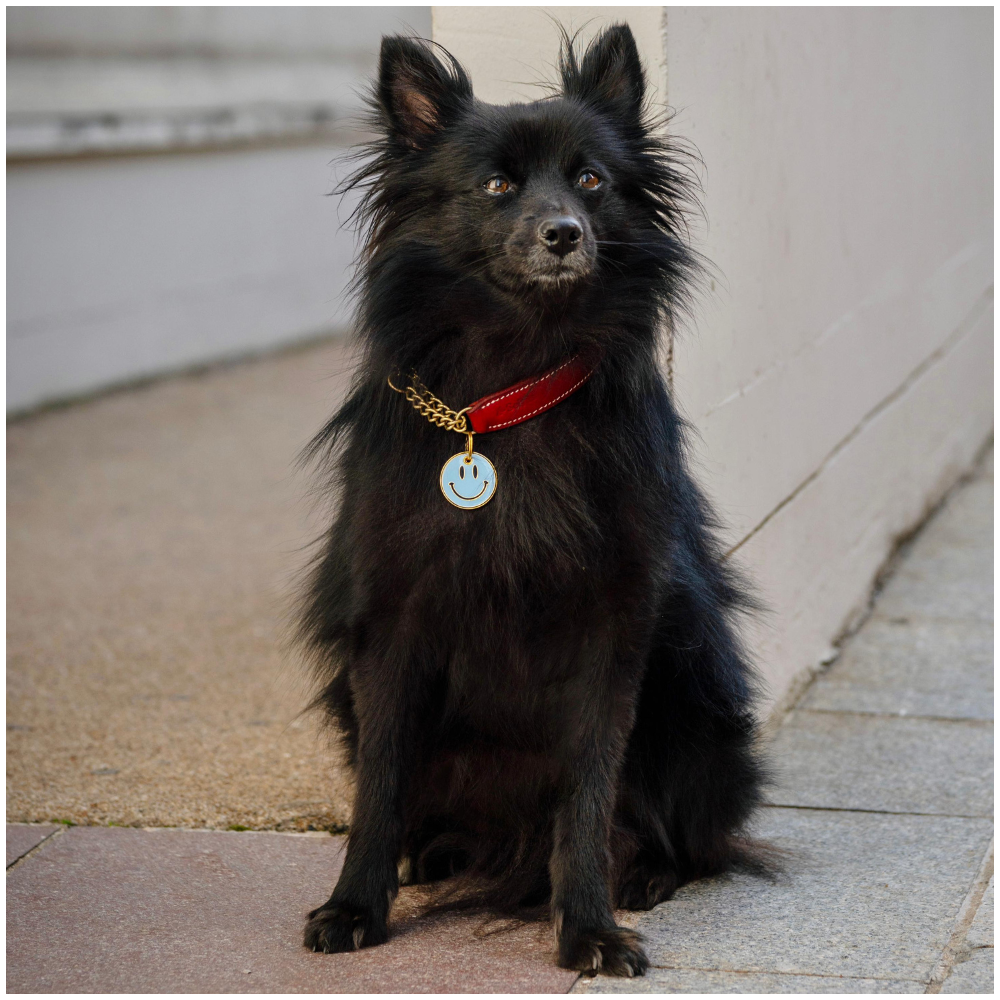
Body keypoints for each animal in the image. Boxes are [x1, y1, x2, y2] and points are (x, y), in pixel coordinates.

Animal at [296, 23, 764, 976]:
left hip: (693, 699)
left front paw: (585, 923)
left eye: (591, 180)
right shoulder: (391, 626)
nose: (563, 233)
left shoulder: (612, 633)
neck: (515, 384)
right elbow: (380, 785)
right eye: (497, 186)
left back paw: (643, 872)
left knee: (694, 836)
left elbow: (587, 791)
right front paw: (357, 903)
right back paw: (429, 854)